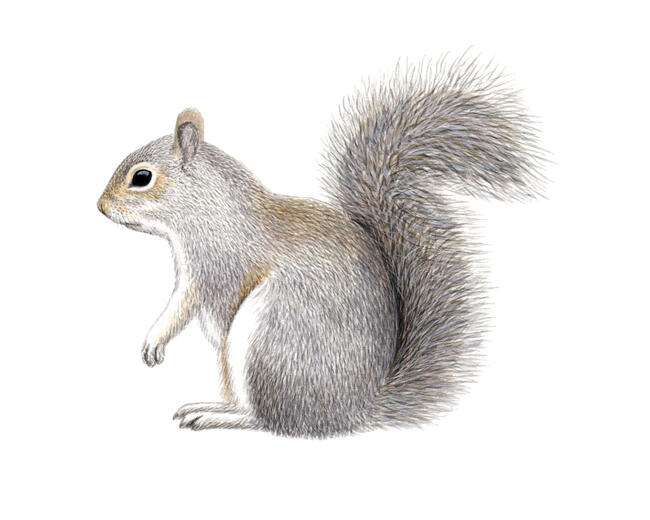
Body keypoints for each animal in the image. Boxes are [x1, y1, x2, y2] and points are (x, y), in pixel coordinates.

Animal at [97, 56, 544, 438]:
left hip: (267, 336)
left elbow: (183, 305)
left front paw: (154, 339)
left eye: (142, 177)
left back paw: (215, 415)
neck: (208, 207)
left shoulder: (214, 265)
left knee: (267, 419)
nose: (100, 207)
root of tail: (353, 411)